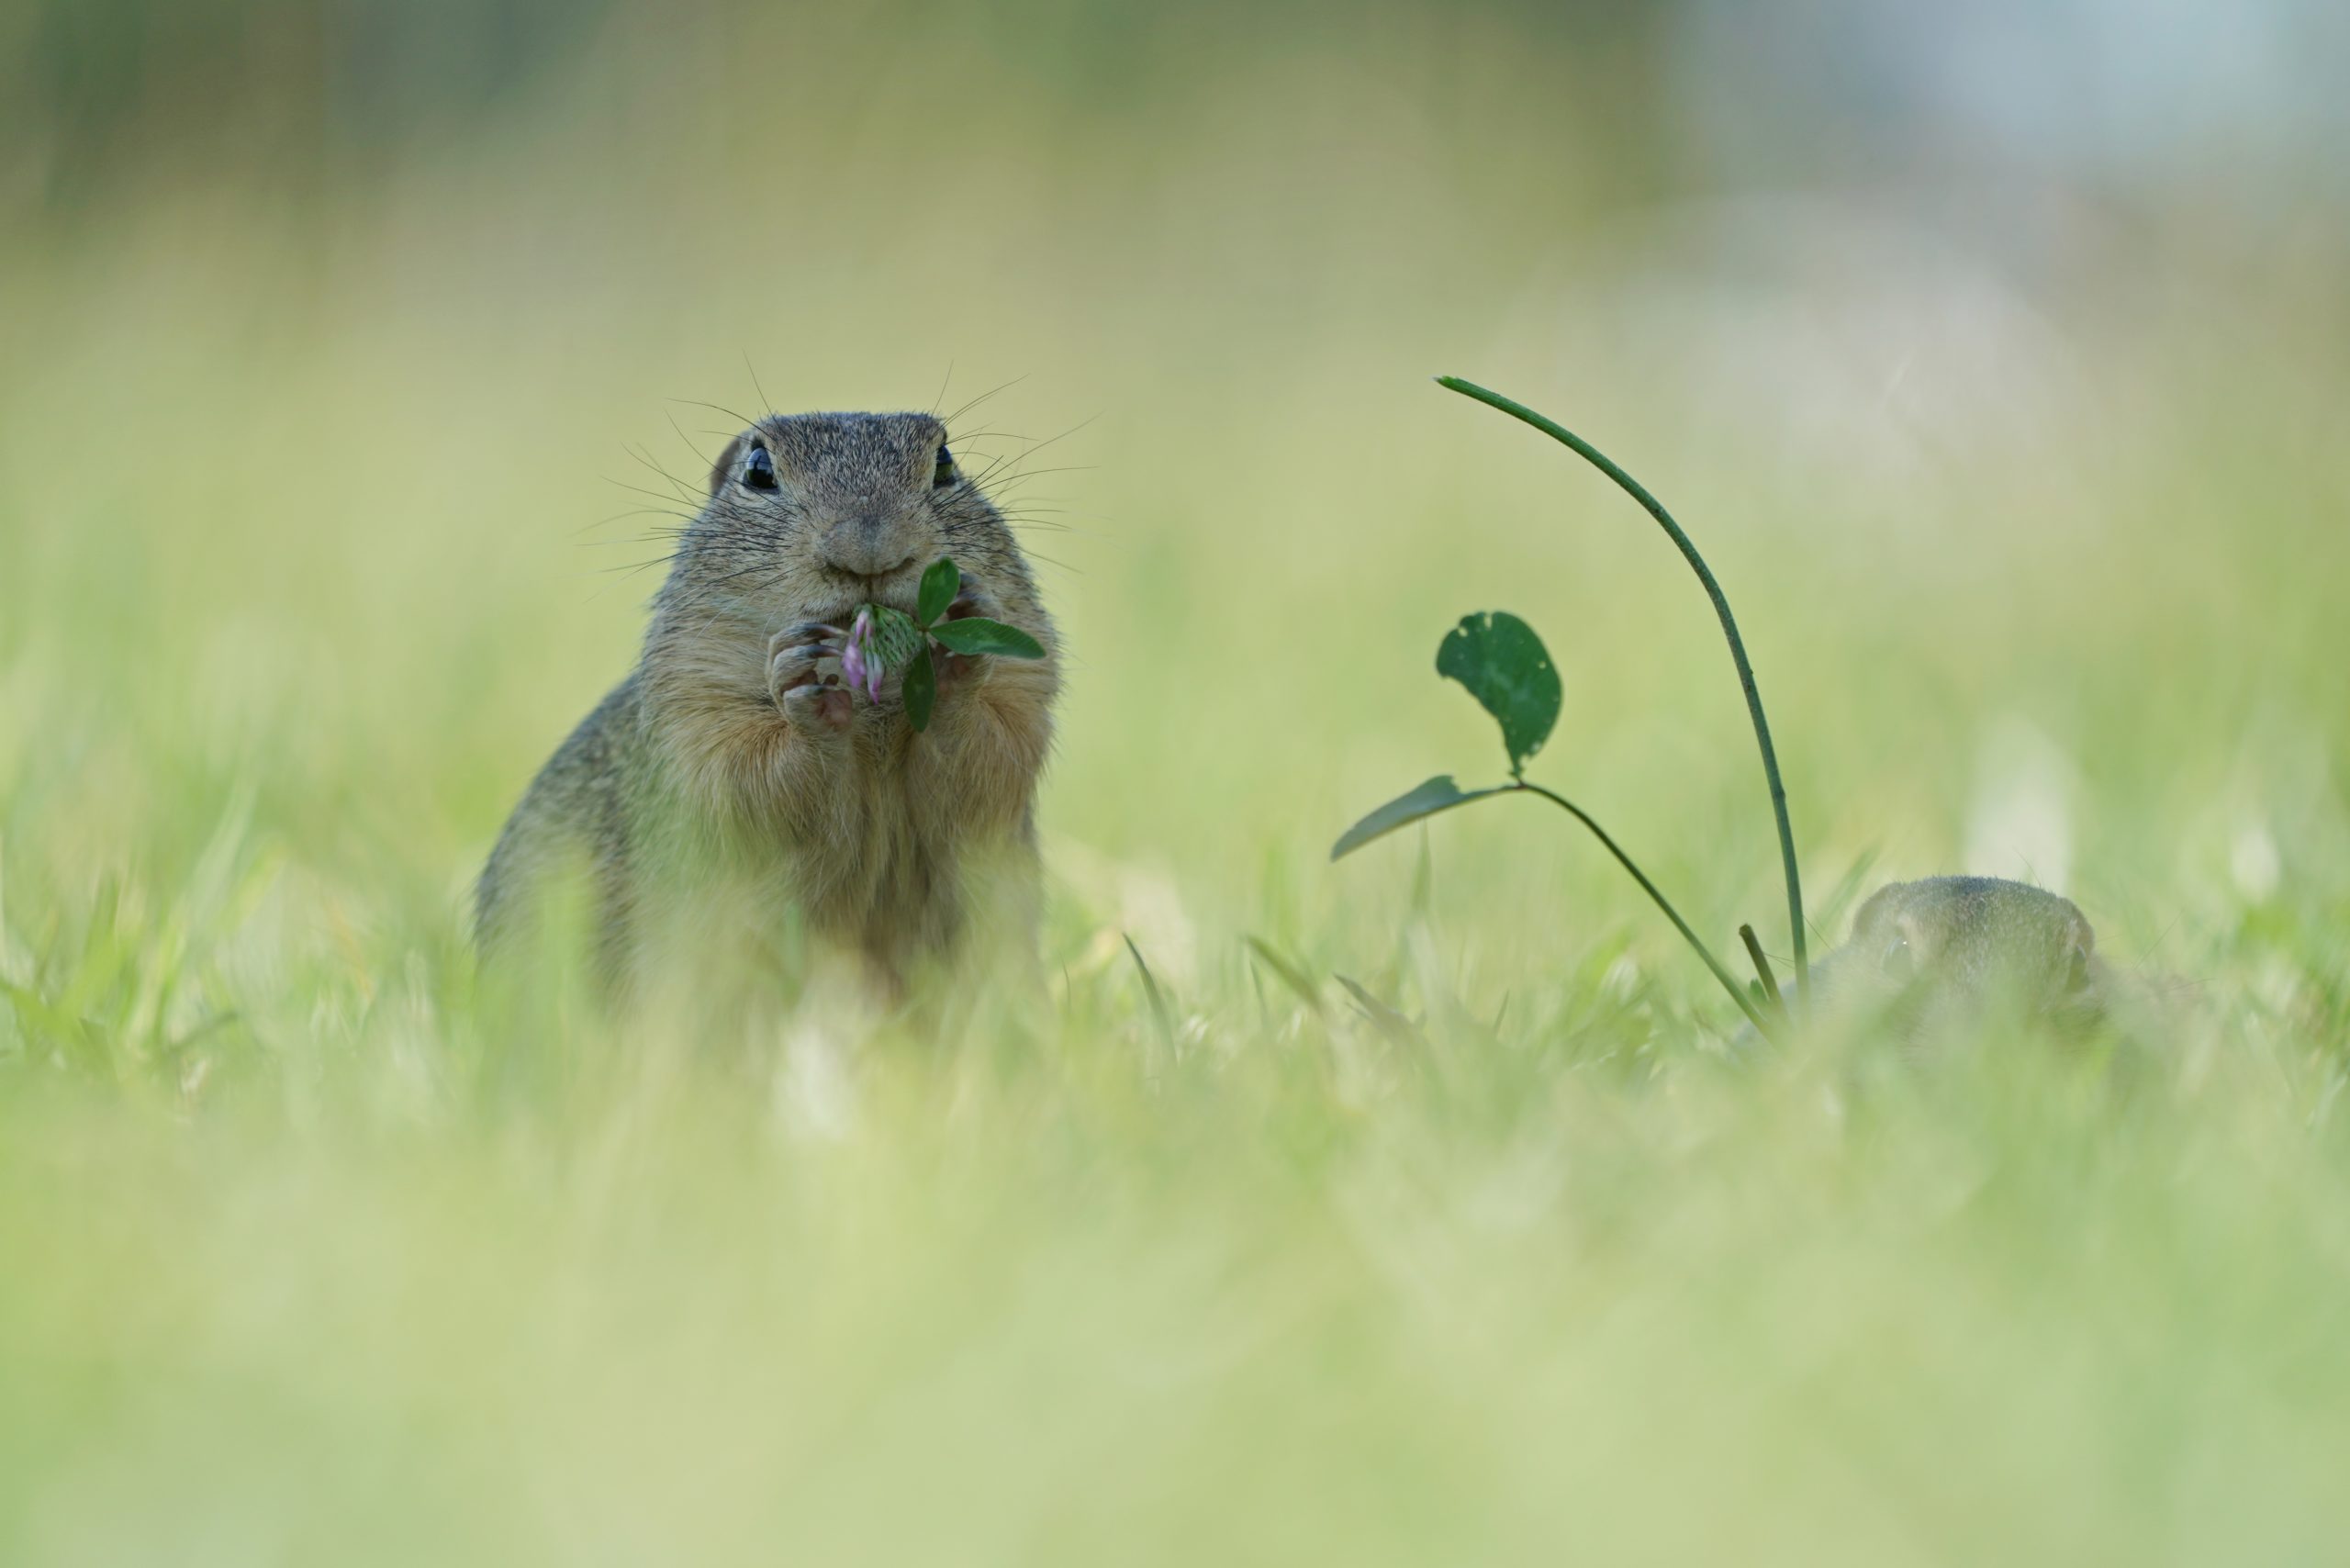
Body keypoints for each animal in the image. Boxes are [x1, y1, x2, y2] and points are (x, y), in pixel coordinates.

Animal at [475, 411, 1058, 987]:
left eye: (944, 463)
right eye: (758, 470)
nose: (868, 548)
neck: (874, 708)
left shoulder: (1024, 684)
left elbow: (992, 754)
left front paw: (957, 651)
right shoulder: (694, 696)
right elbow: (745, 779)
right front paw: (803, 686)